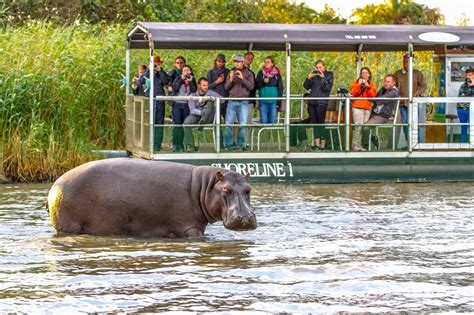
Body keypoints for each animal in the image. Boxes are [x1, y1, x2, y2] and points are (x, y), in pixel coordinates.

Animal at [46, 159, 258, 238]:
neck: (203, 187)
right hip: (69, 226)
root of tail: (55, 185)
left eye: (248, 189)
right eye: (226, 190)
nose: (245, 218)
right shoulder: (190, 228)